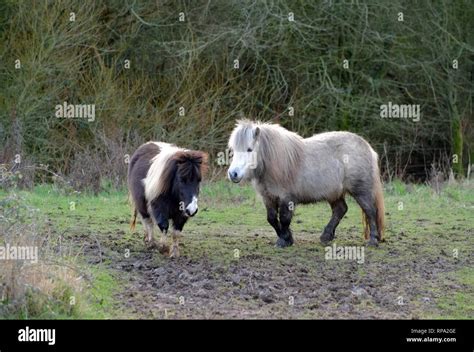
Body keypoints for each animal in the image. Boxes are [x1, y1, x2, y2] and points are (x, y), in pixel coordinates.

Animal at [227, 121, 386, 248]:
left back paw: (373, 240)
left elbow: (284, 218)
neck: (275, 162)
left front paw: (284, 240)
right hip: (334, 193)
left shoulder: (287, 198)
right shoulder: (268, 198)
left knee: (370, 211)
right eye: (233, 150)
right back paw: (326, 236)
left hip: (361, 190)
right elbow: (272, 219)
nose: (233, 174)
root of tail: (368, 148)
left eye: (249, 149)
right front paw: (286, 238)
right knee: (340, 210)